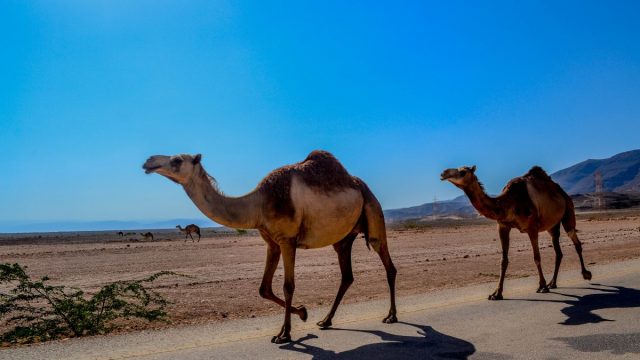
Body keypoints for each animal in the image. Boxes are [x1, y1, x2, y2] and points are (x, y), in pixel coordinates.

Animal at [142, 149, 398, 344]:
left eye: (177, 160)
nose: (148, 161)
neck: (259, 204)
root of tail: (361, 185)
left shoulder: (287, 240)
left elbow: (288, 286)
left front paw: (285, 334)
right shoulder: (272, 243)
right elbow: (263, 289)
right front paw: (303, 313)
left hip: (372, 211)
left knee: (388, 264)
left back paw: (391, 316)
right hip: (343, 239)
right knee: (347, 276)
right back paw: (325, 320)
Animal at [442, 165, 592, 300]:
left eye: (463, 172)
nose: (443, 173)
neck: (509, 203)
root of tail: (562, 193)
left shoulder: (532, 228)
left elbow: (536, 257)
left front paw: (542, 286)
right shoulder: (502, 226)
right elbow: (503, 260)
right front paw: (496, 293)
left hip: (568, 212)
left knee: (575, 241)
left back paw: (586, 274)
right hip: (552, 226)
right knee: (558, 252)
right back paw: (553, 283)